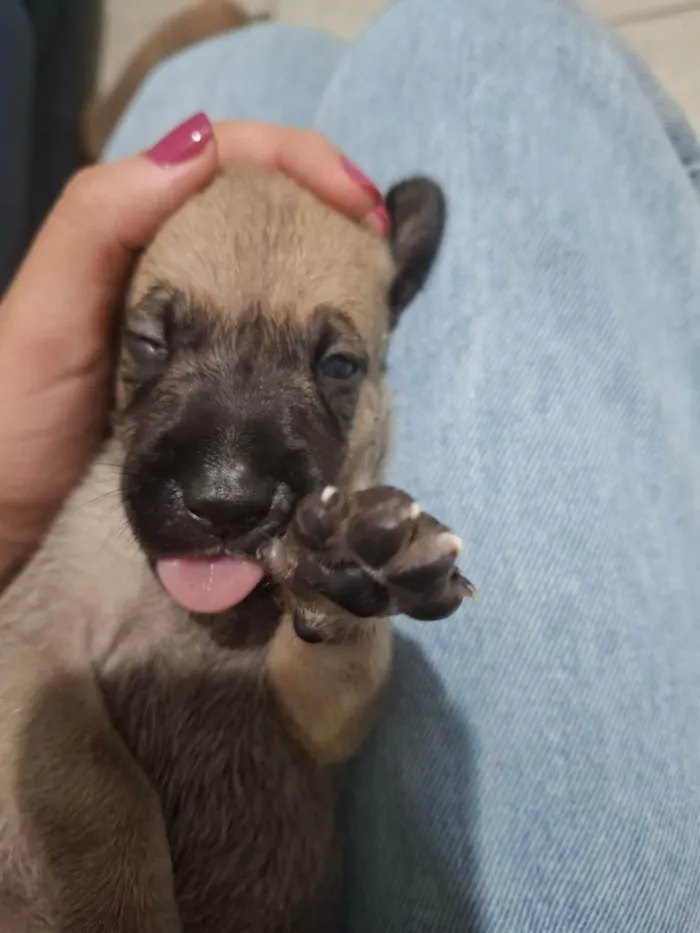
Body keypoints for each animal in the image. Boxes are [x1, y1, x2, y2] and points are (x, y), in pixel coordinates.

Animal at [0, 166, 476, 932]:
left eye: (339, 366)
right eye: (148, 341)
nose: (224, 503)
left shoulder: (317, 725)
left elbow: (341, 657)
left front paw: (347, 571)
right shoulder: (32, 649)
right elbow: (103, 790)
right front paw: (124, 907)